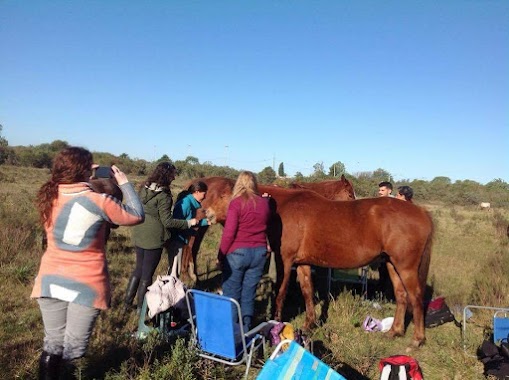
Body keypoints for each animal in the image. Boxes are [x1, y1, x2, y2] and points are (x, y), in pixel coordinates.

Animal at [194, 176, 432, 348]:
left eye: (226, 195)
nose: (206, 213)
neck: (282, 207)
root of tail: (421, 212)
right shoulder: (302, 264)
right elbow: (308, 291)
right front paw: (310, 323)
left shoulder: (285, 260)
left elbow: (280, 292)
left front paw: (276, 323)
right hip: (392, 265)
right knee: (402, 296)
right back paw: (394, 332)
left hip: (406, 267)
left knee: (416, 297)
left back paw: (417, 339)